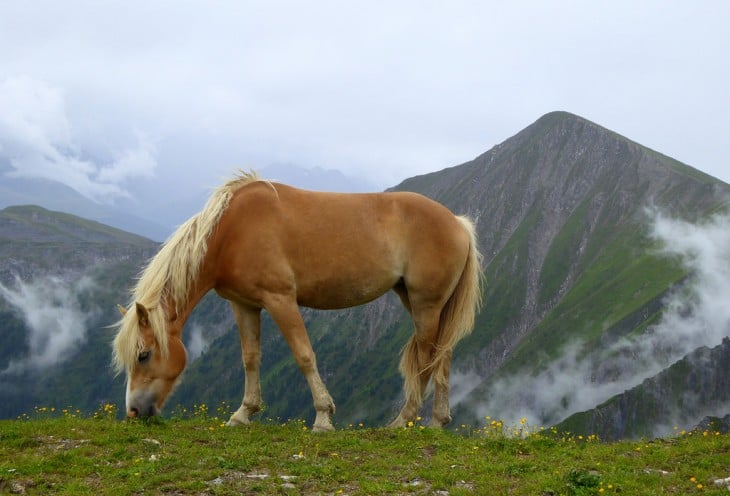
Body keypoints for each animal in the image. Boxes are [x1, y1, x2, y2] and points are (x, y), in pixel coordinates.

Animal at [111, 170, 480, 430]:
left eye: (143, 355)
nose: (134, 411)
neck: (232, 231)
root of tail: (457, 222)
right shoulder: (244, 305)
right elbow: (250, 357)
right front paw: (243, 413)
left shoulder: (281, 300)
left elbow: (304, 355)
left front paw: (323, 418)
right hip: (421, 303)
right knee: (442, 355)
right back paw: (437, 422)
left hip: (426, 304)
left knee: (427, 358)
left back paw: (403, 420)